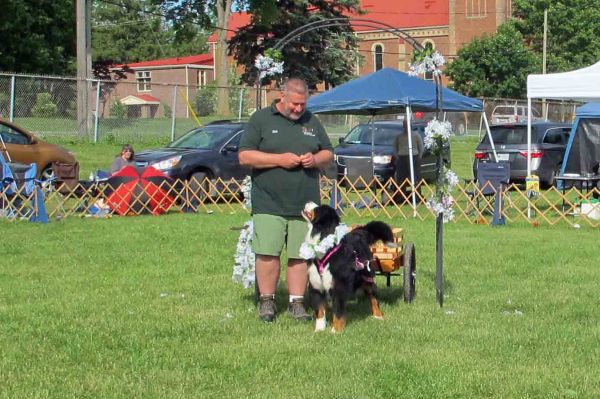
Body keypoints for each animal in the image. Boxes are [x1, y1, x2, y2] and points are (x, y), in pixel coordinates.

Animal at [300, 203, 394, 334]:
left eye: (317, 208)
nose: (307, 202)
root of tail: (360, 232)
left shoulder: (339, 287)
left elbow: (338, 313)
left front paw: (336, 331)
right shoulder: (316, 285)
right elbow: (320, 311)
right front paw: (319, 330)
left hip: (367, 277)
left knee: (374, 296)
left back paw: (378, 316)